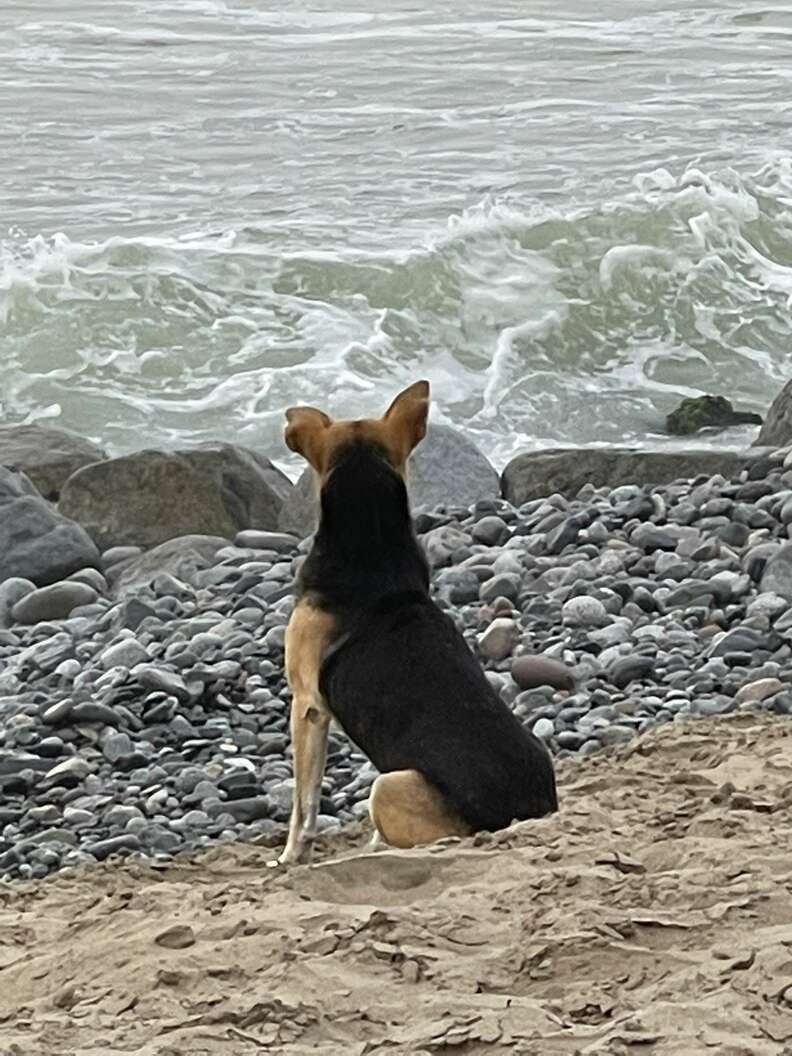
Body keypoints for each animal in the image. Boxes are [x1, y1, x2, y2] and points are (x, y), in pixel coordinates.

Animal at [276, 382, 561, 865]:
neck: (372, 546)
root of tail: (527, 811)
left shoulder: (308, 708)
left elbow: (304, 802)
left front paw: (290, 856)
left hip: (387, 786)